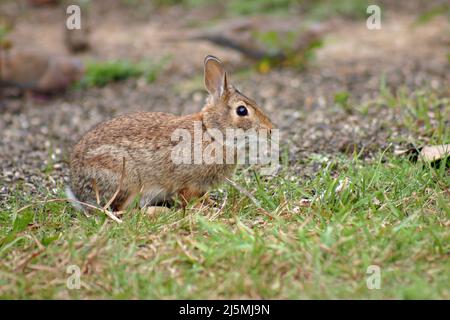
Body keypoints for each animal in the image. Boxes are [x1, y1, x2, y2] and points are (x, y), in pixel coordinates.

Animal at [67, 55, 274, 212]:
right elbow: (187, 197)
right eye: (242, 111)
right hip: (125, 177)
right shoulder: (188, 182)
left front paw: (210, 203)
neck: (212, 133)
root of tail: (78, 190)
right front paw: (202, 209)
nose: (270, 129)